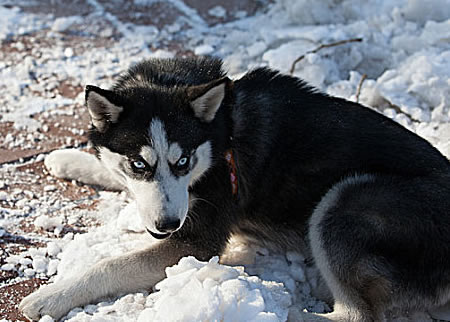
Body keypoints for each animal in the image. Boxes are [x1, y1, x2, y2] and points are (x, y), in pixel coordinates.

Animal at [20, 56, 450, 320]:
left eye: (183, 161)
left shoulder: (197, 241)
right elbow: (113, 172)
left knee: (357, 314)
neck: (220, 129)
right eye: (139, 164)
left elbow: (110, 265)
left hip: (343, 201)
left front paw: (50, 296)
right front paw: (69, 159)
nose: (167, 225)